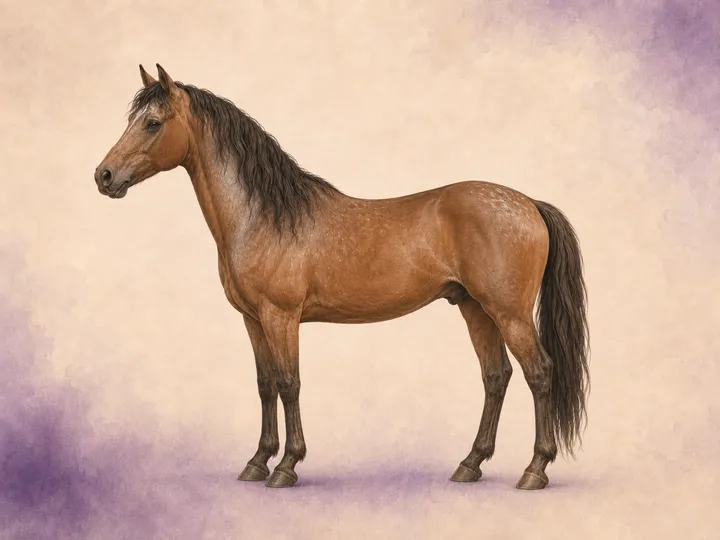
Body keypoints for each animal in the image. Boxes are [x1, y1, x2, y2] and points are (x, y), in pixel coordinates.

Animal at [94, 64, 589, 490]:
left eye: (153, 123)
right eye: (133, 118)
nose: (104, 176)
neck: (264, 217)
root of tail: (529, 203)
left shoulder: (281, 316)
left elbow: (289, 384)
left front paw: (287, 466)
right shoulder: (252, 320)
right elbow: (264, 385)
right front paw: (257, 462)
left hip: (509, 313)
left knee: (539, 373)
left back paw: (535, 470)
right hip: (474, 308)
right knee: (496, 376)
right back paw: (470, 464)